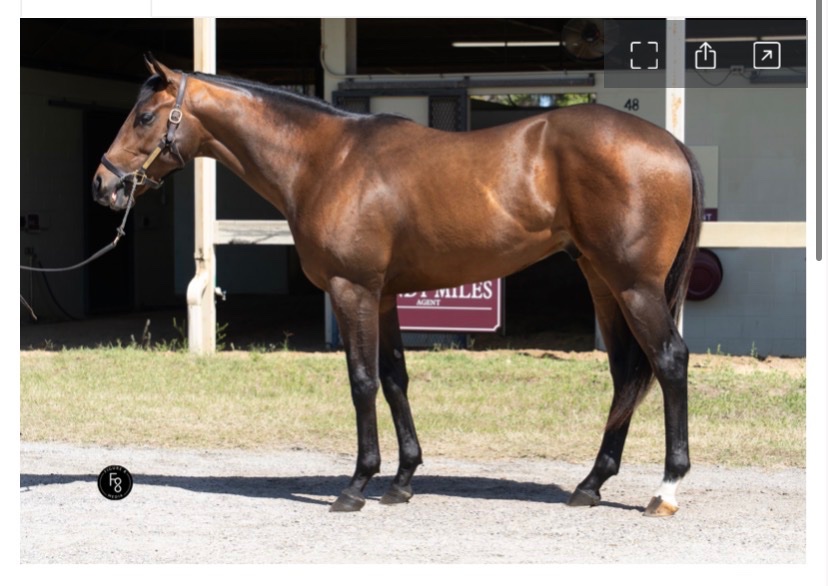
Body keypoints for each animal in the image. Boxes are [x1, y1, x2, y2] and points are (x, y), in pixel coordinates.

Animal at [93, 54, 703, 516]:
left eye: (144, 116)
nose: (104, 185)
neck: (325, 160)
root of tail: (670, 144)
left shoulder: (352, 290)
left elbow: (362, 382)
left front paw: (357, 484)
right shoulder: (383, 295)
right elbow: (394, 379)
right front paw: (403, 480)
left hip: (634, 285)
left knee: (669, 361)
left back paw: (666, 489)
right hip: (602, 281)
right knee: (626, 372)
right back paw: (590, 484)